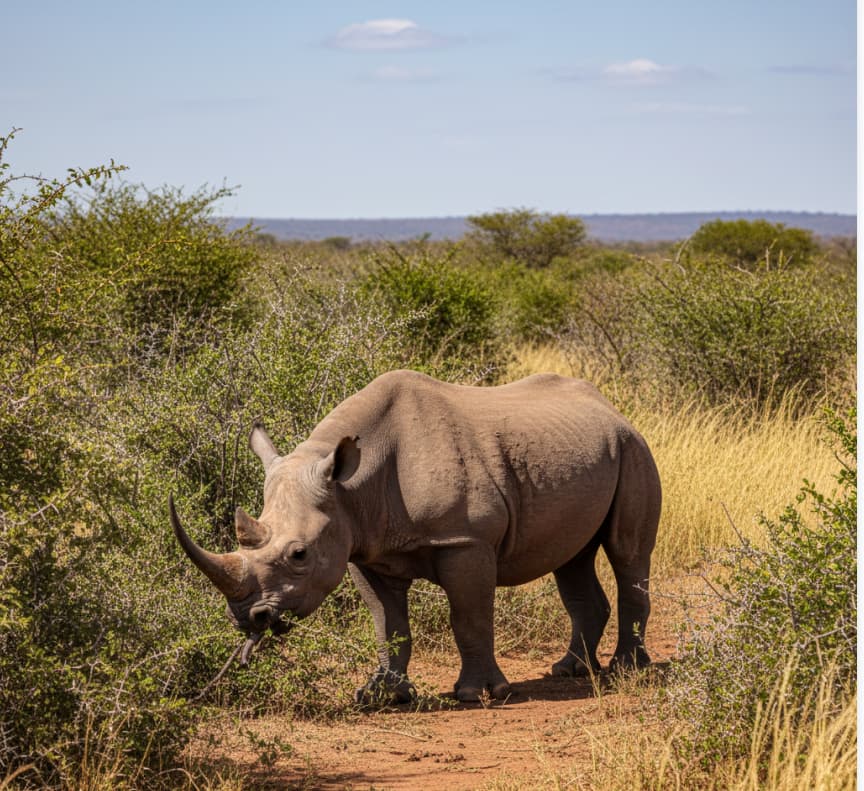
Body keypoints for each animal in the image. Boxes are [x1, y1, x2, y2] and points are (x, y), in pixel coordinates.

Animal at [171, 370, 661, 702]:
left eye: (299, 554)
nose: (246, 618)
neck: (351, 487)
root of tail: (612, 409)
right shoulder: (363, 548)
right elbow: (388, 624)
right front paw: (381, 696)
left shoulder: (464, 540)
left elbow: (469, 617)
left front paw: (479, 695)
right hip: (587, 452)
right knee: (572, 559)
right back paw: (569, 670)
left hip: (634, 449)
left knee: (627, 553)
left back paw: (627, 671)